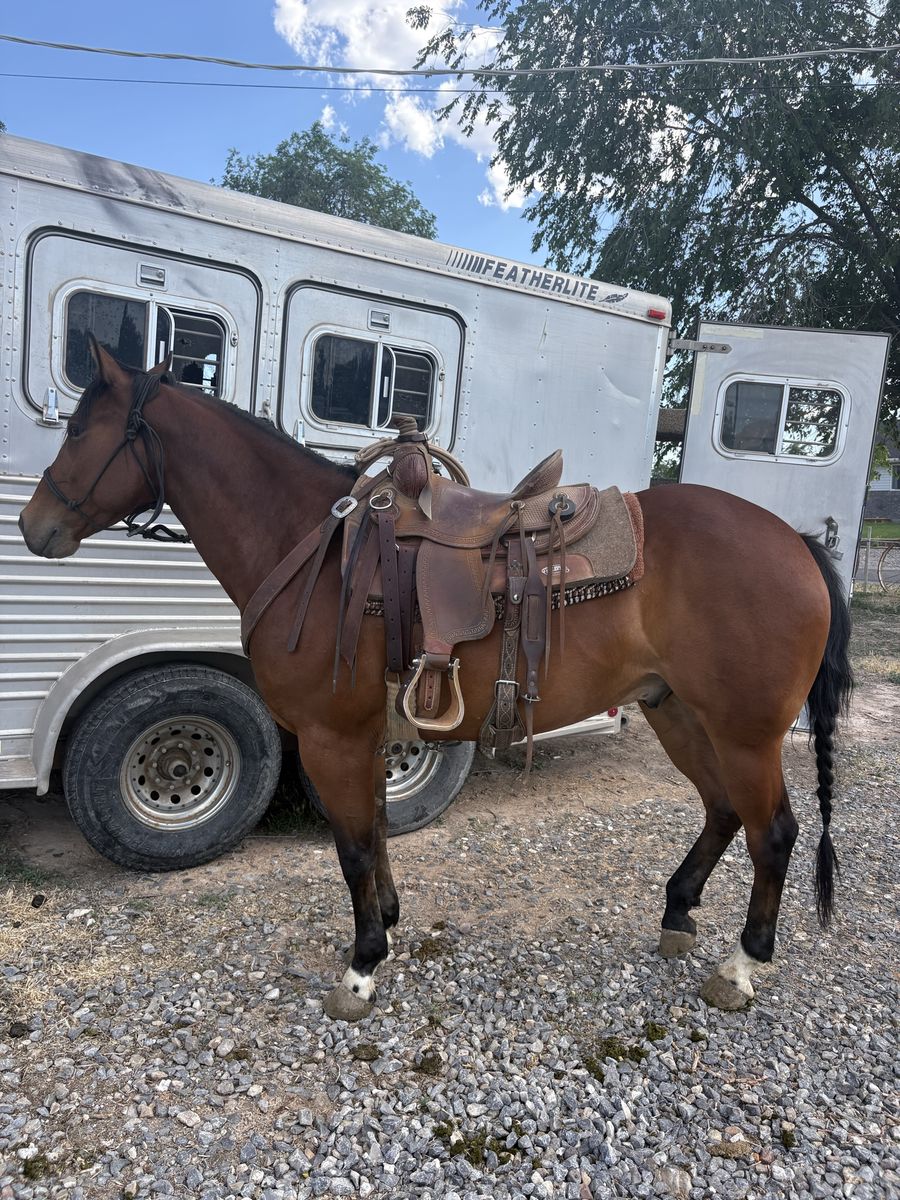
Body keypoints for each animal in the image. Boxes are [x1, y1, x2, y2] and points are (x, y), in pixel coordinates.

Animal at [19, 342, 852, 1022]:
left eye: (78, 430)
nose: (34, 526)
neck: (314, 550)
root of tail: (796, 544)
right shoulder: (363, 737)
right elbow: (376, 835)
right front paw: (385, 924)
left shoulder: (330, 737)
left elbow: (355, 847)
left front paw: (361, 970)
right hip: (677, 711)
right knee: (722, 811)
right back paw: (677, 916)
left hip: (745, 732)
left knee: (774, 831)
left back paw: (741, 967)